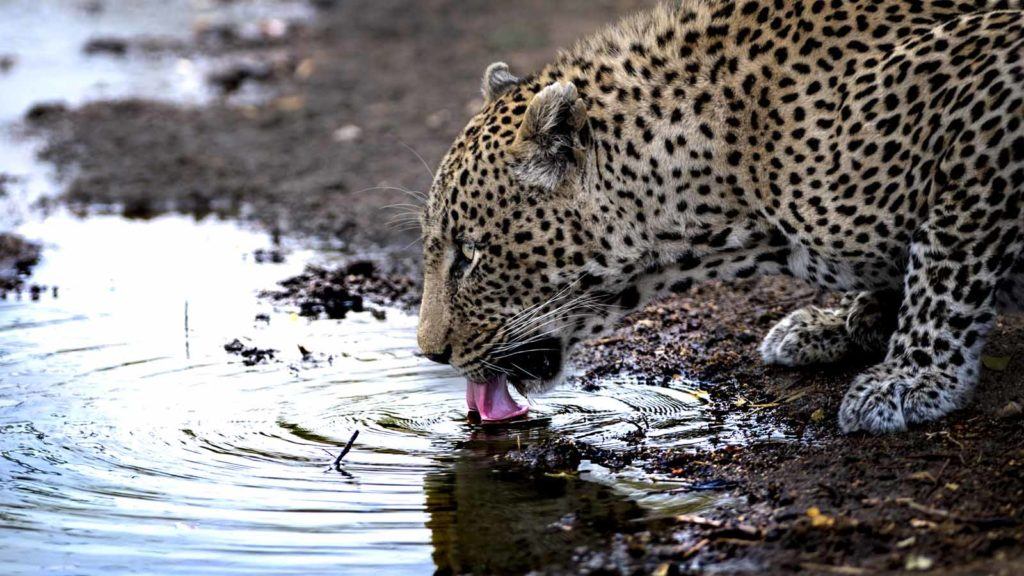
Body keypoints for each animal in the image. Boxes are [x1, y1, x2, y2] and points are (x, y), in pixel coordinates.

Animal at [411, 0, 1024, 430]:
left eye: (469, 255)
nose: (431, 354)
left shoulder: (989, 85)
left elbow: (948, 263)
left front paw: (912, 377)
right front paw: (845, 319)